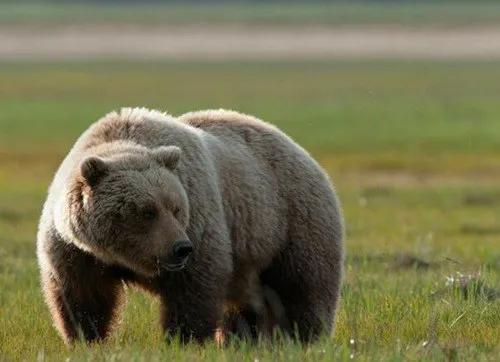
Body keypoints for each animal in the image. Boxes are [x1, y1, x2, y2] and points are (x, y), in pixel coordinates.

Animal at [36, 107, 344, 346]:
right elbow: (82, 294)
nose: (181, 248)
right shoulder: (75, 250)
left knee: (303, 284)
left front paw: (182, 339)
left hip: (291, 219)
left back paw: (305, 337)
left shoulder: (200, 218)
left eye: (175, 207)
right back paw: (243, 340)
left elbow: (194, 287)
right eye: (147, 211)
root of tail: (303, 152)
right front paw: (85, 338)